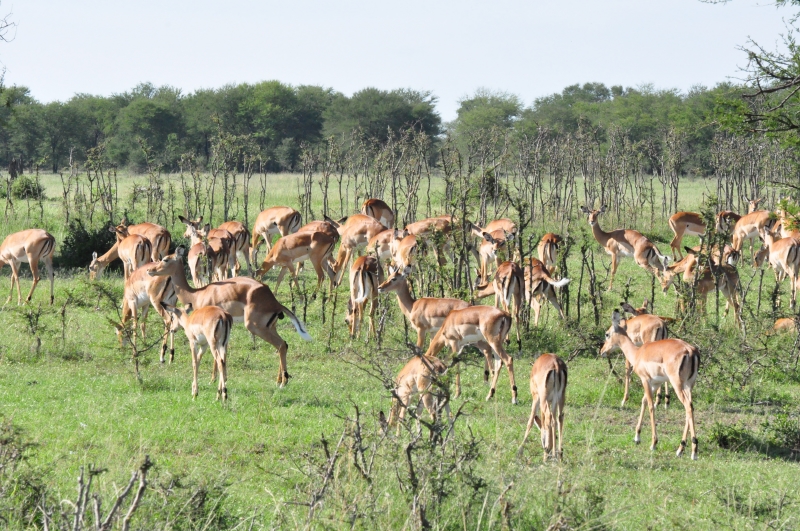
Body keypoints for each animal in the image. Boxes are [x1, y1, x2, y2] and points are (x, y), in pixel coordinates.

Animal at [147, 247, 312, 387]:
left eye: (166, 259)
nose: (150, 270)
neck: (197, 294)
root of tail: (274, 302)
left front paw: (213, 379)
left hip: (255, 326)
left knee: (281, 345)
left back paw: (283, 382)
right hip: (270, 327)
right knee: (284, 344)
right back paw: (279, 380)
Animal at [601, 310, 700, 460]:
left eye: (607, 334)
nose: (602, 351)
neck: (638, 353)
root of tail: (690, 351)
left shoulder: (645, 380)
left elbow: (651, 406)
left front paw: (653, 443)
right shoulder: (656, 383)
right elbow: (644, 401)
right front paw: (637, 437)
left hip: (677, 384)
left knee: (687, 407)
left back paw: (691, 451)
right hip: (689, 385)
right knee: (691, 407)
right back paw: (681, 449)